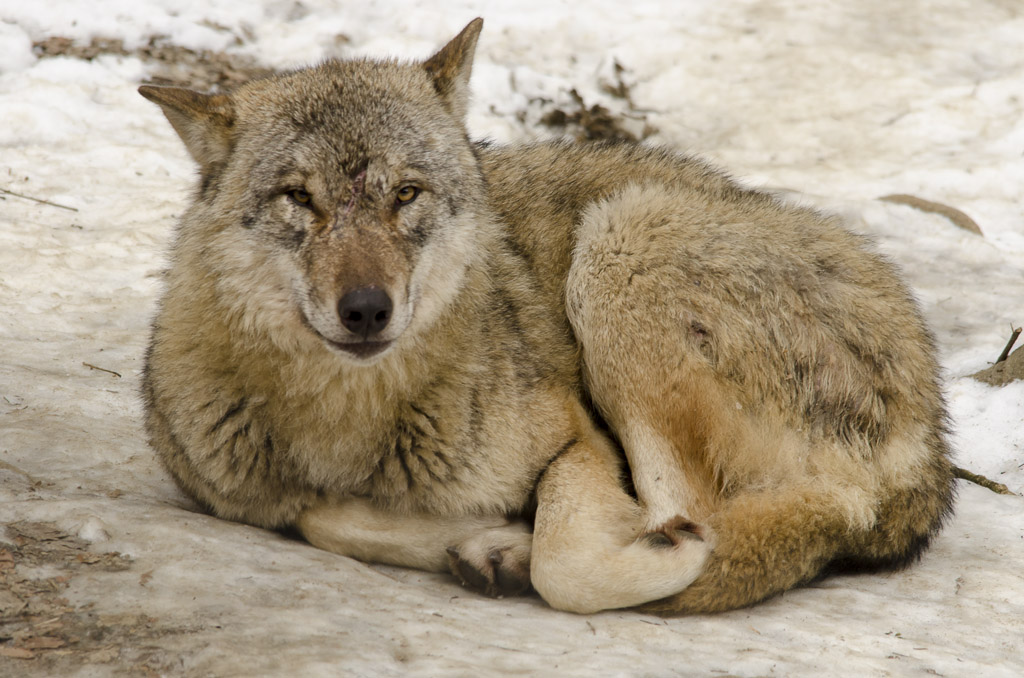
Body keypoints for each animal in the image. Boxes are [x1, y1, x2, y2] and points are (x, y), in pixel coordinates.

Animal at [139, 18, 955, 614]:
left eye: (405, 194)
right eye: (298, 199)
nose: (367, 309)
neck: (348, 423)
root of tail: (933, 439)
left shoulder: (580, 436)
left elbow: (572, 567)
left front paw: (552, 546)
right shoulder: (241, 494)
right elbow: (323, 515)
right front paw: (487, 536)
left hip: (620, 244)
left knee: (702, 515)